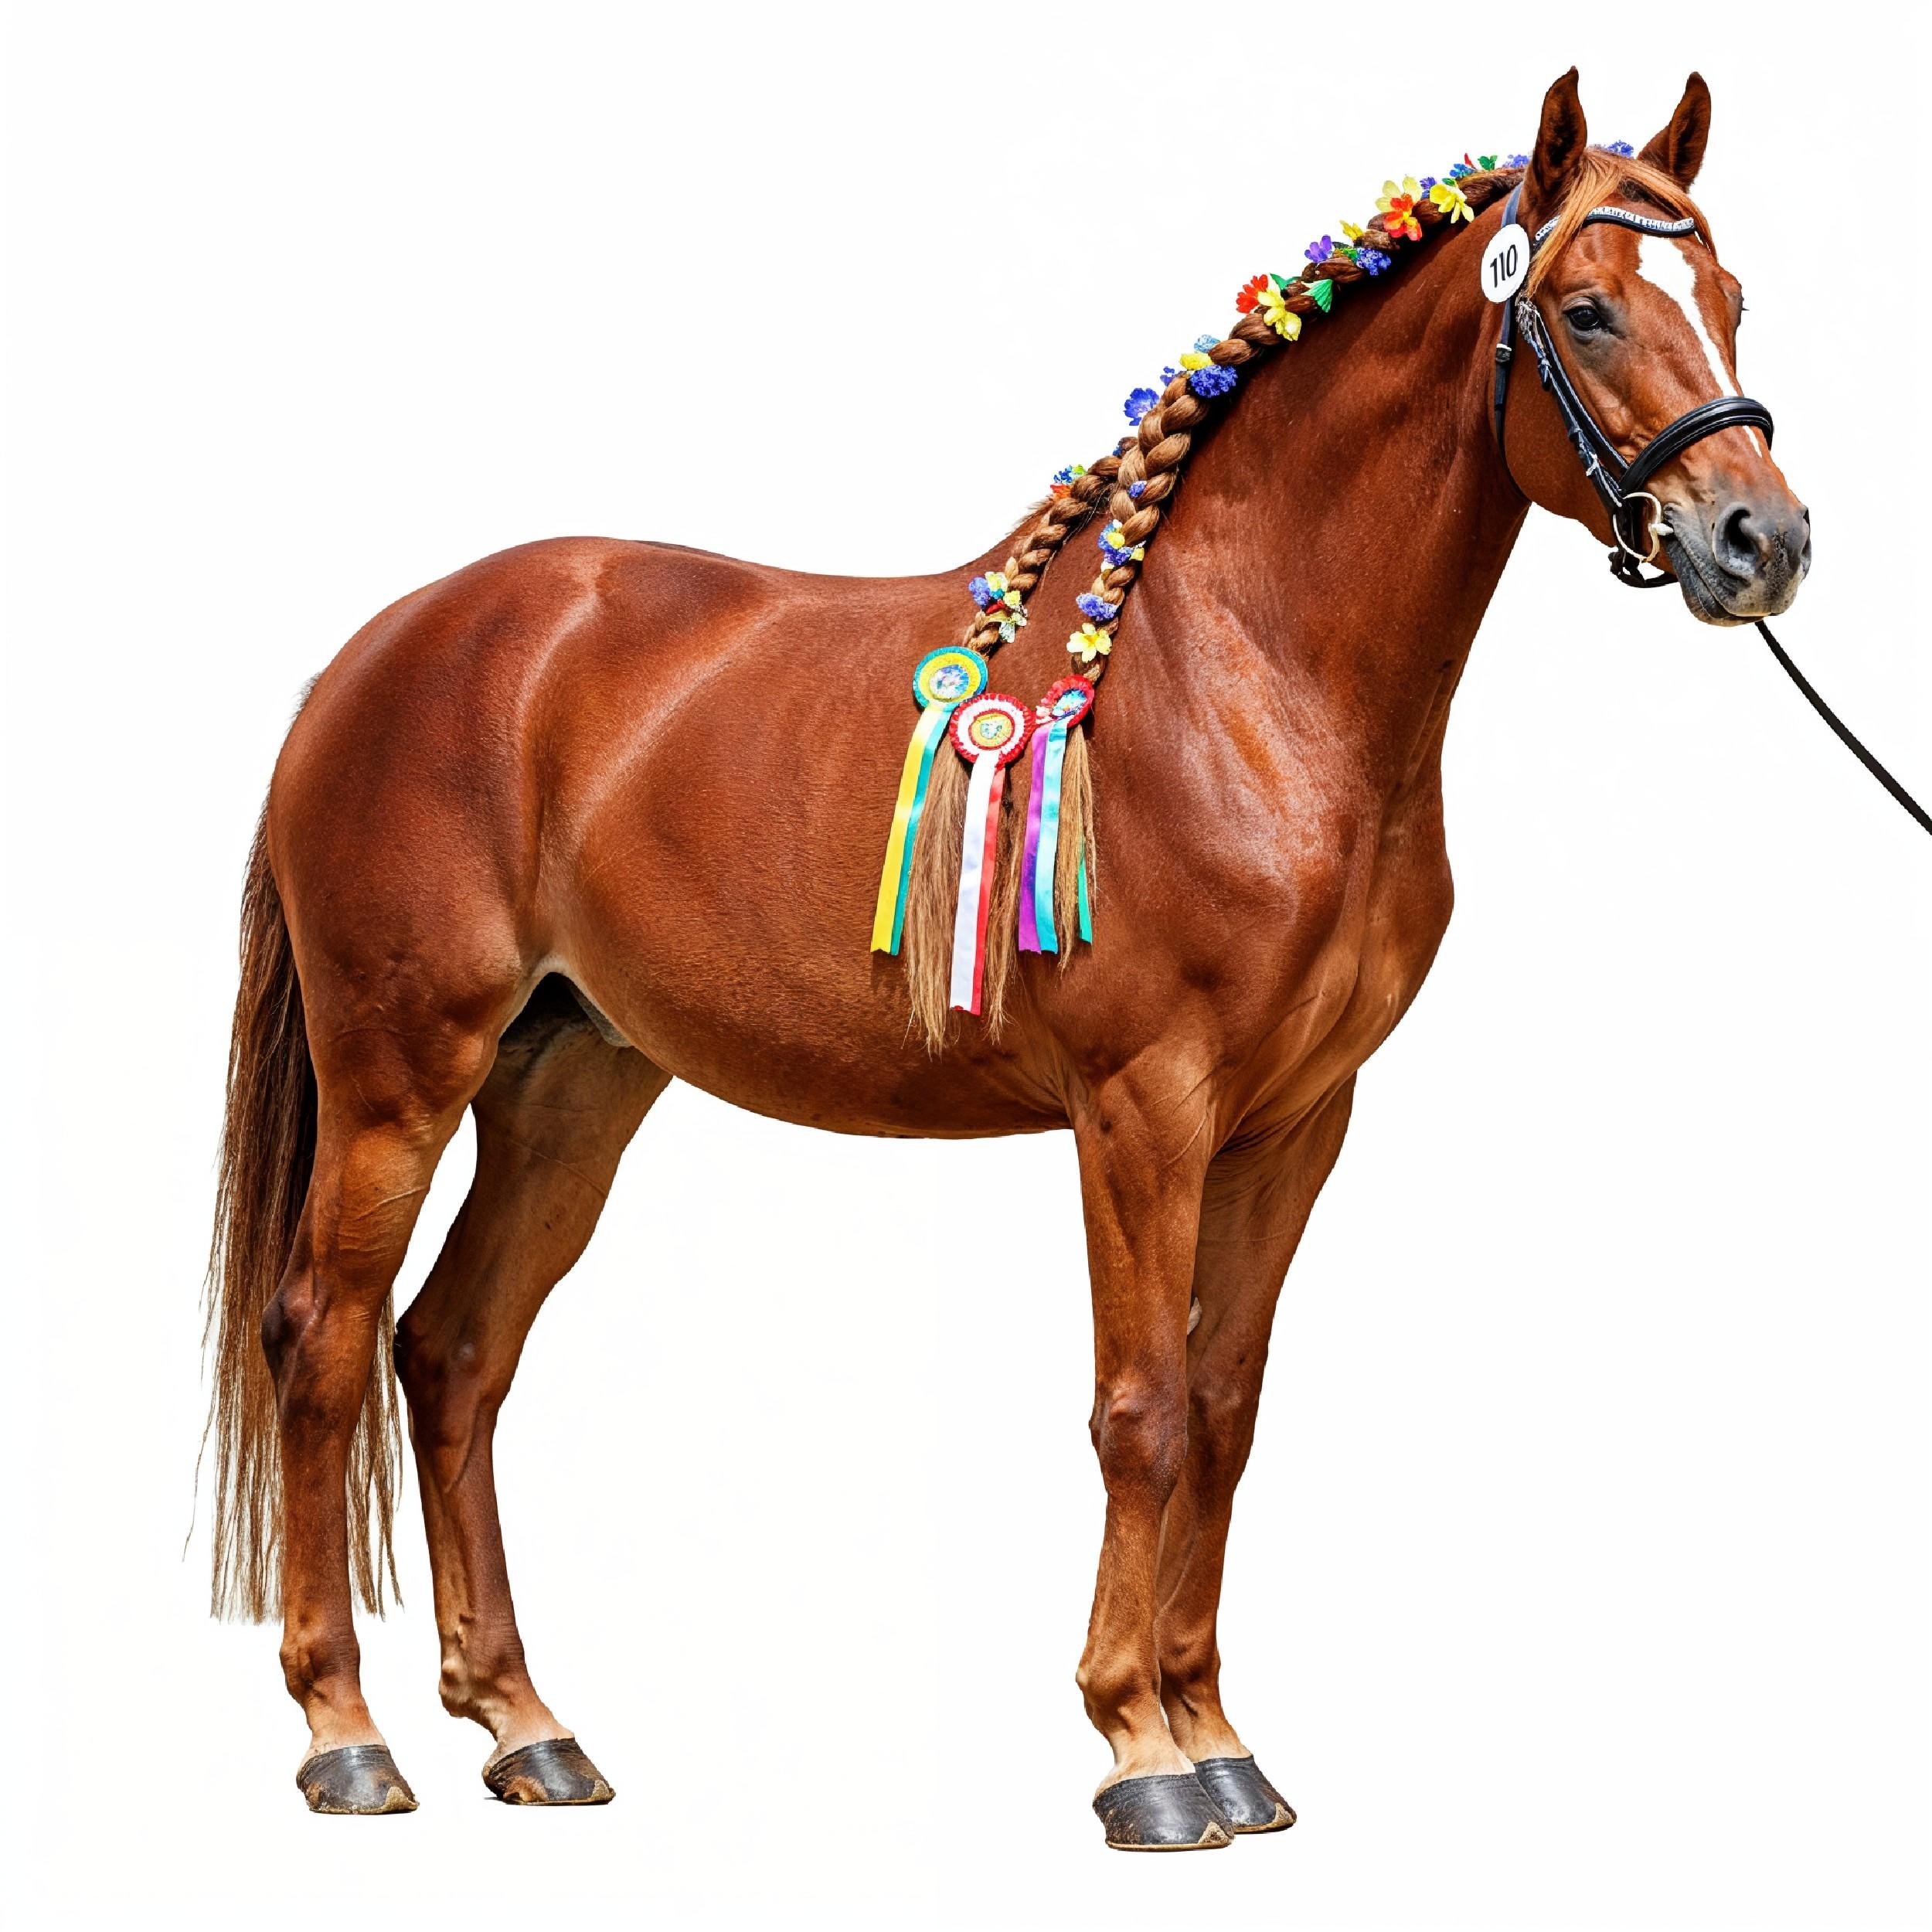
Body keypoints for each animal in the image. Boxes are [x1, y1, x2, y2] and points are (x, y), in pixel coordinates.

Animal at [203, 67, 1809, 1848]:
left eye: (1731, 299)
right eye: (1587, 308)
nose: (1761, 540)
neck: (1237, 674)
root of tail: (382, 652)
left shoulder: (1295, 1123)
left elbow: (1224, 1412)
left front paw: (1219, 1737)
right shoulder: (1141, 1107)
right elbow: (1141, 1409)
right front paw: (1141, 1755)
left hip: (572, 1085)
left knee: (453, 1352)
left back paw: (524, 1724)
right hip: (397, 1076)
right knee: (322, 1338)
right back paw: (346, 1736)